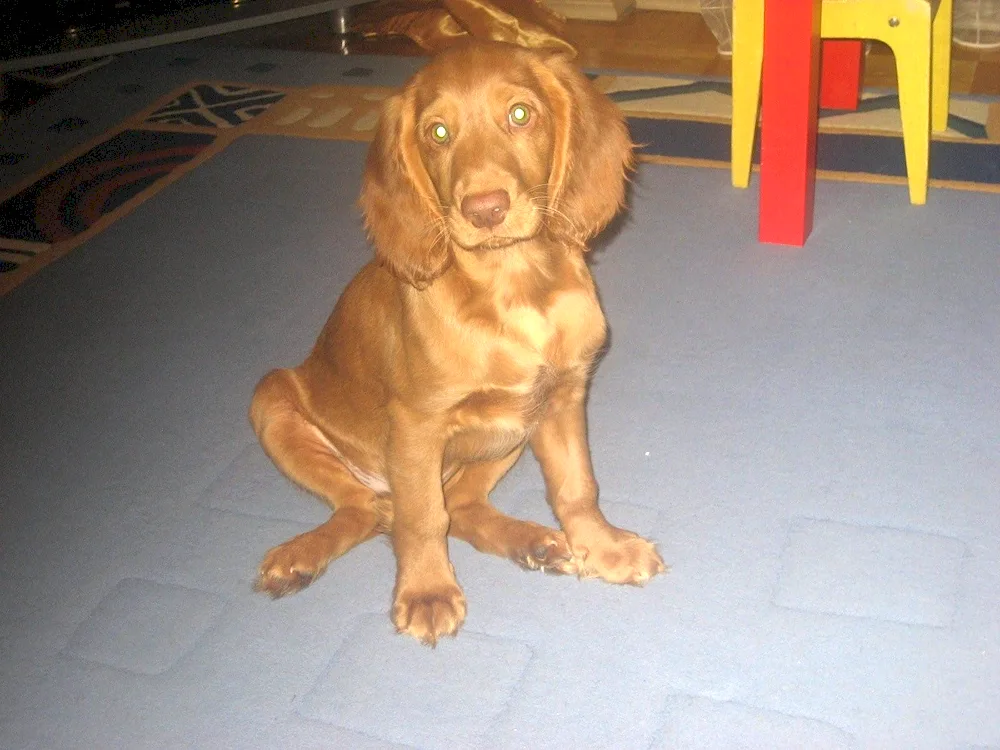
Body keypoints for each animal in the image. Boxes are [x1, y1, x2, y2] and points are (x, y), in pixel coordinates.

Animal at [250, 39, 664, 648]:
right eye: (438, 133)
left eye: (521, 114)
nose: (486, 209)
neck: (514, 287)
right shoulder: (417, 424)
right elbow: (425, 518)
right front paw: (427, 592)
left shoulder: (561, 399)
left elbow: (577, 486)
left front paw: (603, 547)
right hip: (272, 398)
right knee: (369, 510)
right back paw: (298, 557)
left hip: (510, 431)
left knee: (455, 505)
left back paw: (532, 543)